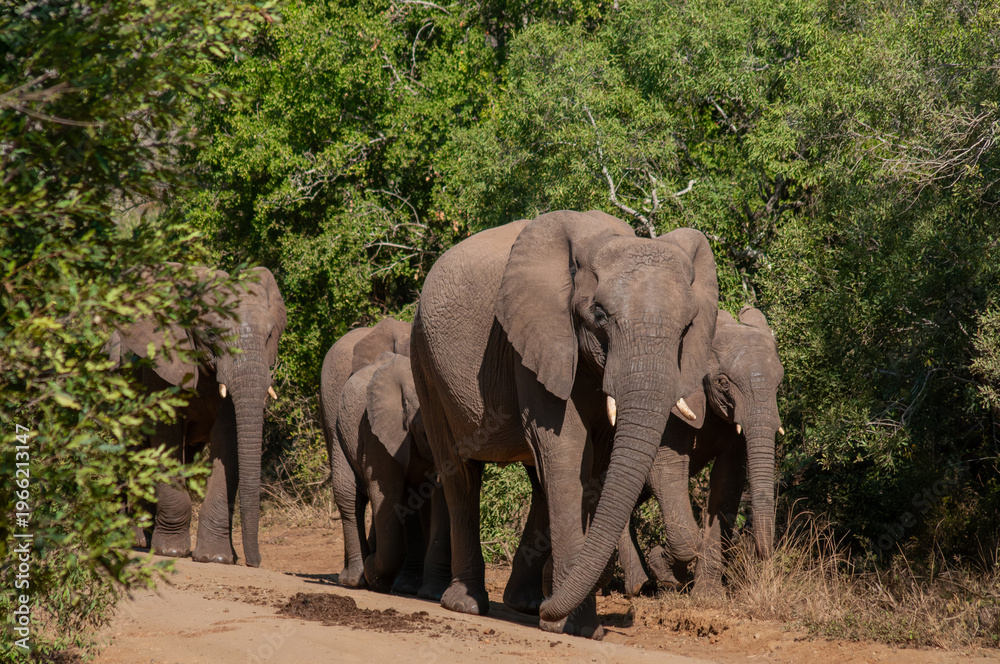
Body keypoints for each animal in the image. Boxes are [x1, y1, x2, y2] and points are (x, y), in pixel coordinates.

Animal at [108, 265, 286, 567]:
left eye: (268, 336)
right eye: (211, 334)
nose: (255, 562)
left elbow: (227, 439)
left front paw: (217, 558)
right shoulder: (160, 364)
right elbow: (165, 435)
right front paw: (170, 551)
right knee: (136, 450)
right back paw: (140, 540)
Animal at [333, 351, 450, 596]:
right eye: (424, 431)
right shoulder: (376, 434)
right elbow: (385, 493)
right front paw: (373, 575)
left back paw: (403, 586)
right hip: (340, 430)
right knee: (349, 496)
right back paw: (354, 580)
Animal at [409, 210, 719, 637]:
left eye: (688, 326)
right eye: (599, 315)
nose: (548, 610)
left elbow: (591, 467)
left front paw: (573, 624)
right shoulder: (537, 338)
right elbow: (568, 450)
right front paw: (574, 628)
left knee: (540, 483)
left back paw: (525, 604)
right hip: (424, 360)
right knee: (461, 474)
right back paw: (468, 604)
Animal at [617, 306, 785, 595]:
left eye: (778, 385)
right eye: (724, 383)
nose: (749, 540)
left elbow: (727, 482)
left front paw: (708, 595)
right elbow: (665, 469)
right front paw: (666, 570)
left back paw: (639, 583)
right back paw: (638, 584)